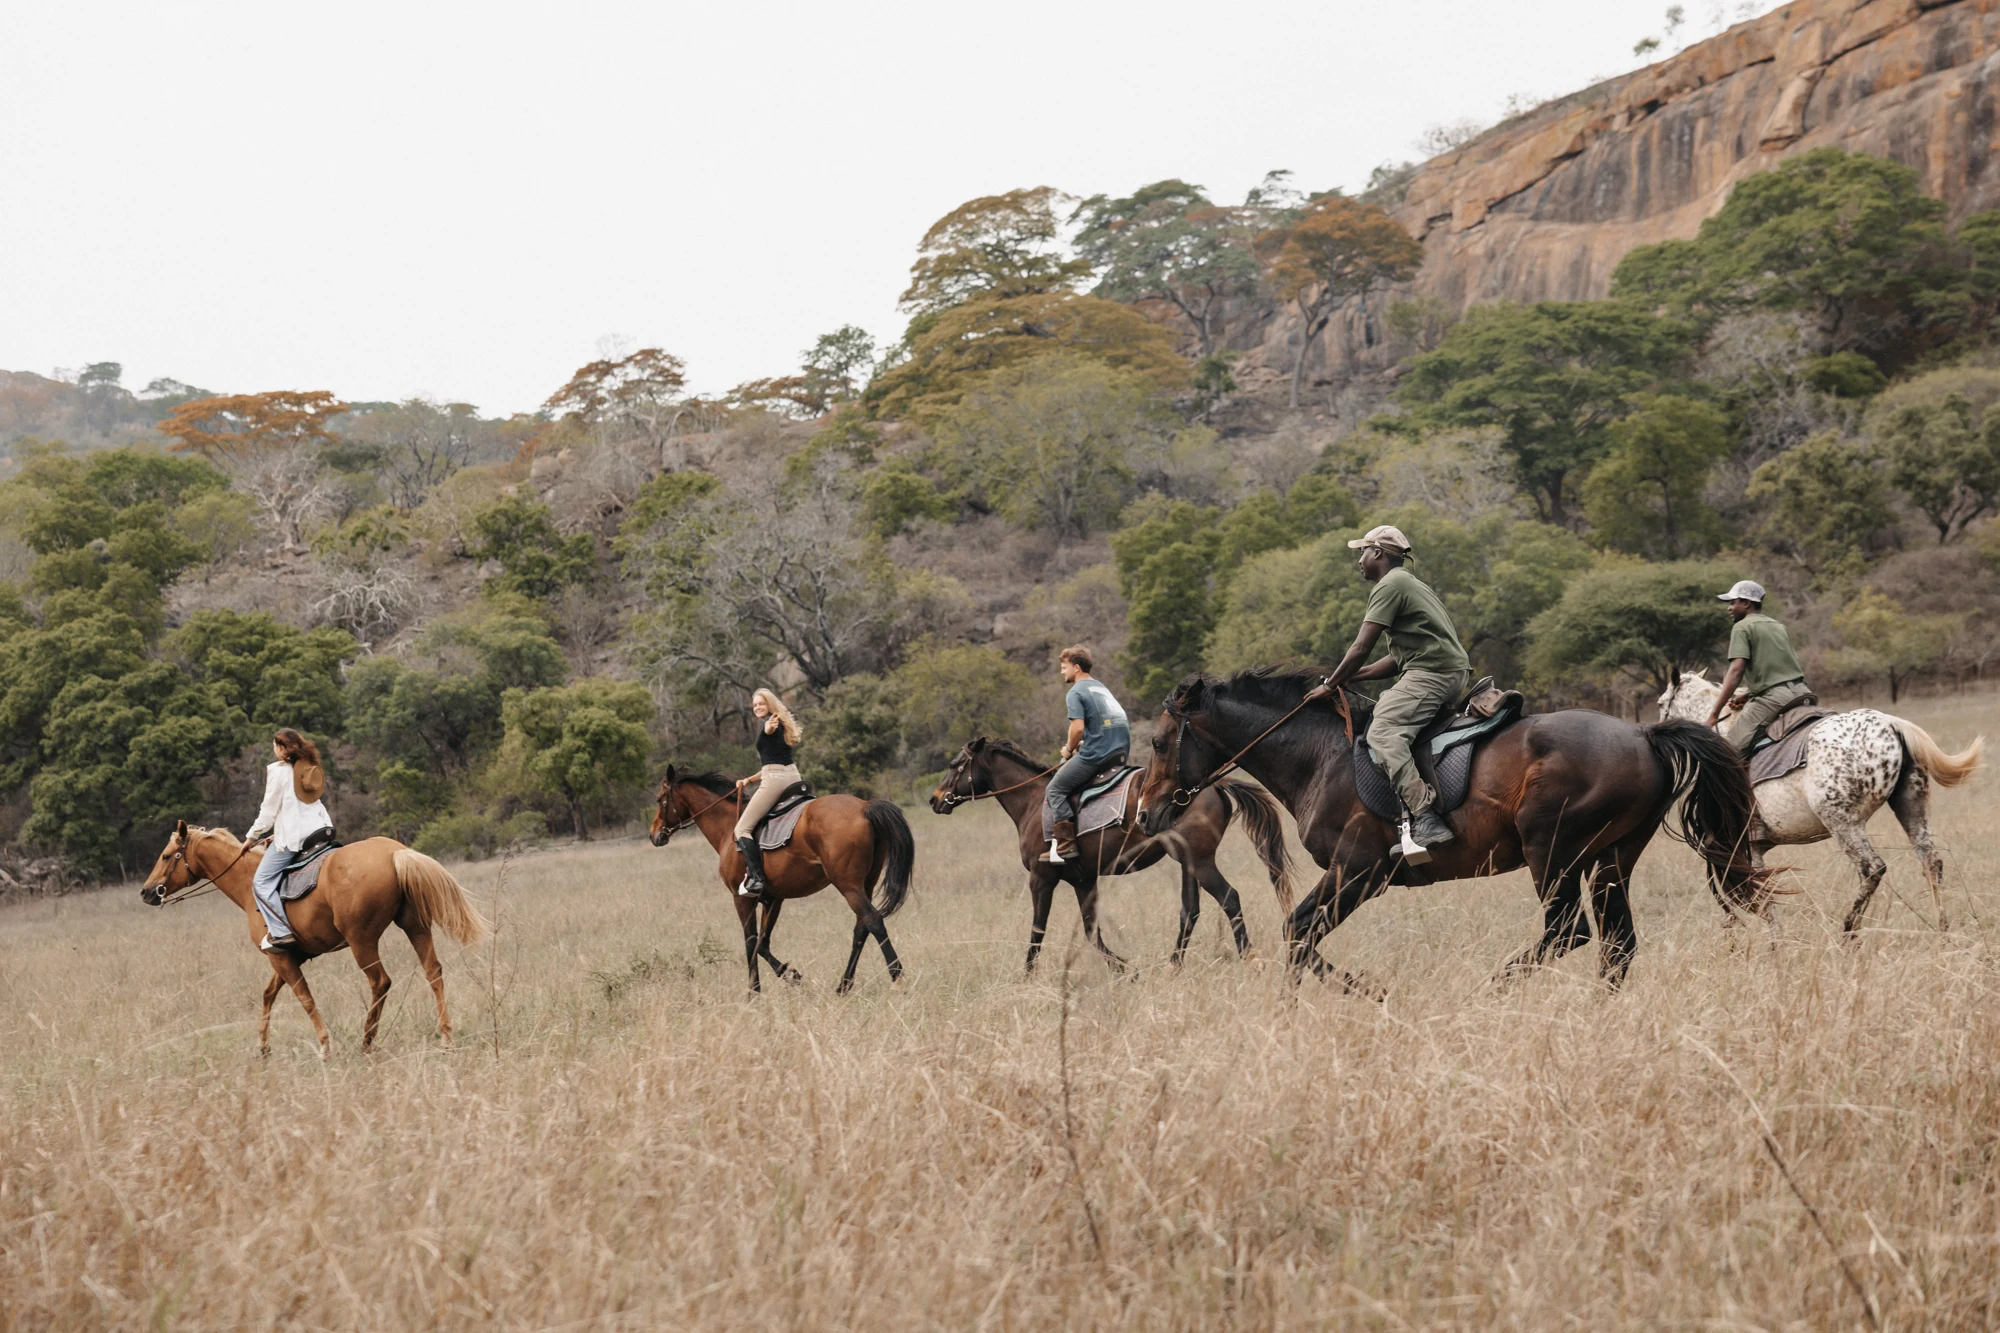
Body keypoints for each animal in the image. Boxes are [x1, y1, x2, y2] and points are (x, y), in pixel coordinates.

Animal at [139, 821, 488, 1057]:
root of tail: (396, 852)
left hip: (362, 942)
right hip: (416, 927)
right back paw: (446, 1037)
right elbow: (268, 995)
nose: (146, 892)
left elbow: (304, 999)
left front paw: (324, 1046)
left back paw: (366, 1040)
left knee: (381, 982)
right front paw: (262, 1046)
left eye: (167, 856)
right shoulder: (289, 957)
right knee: (433, 972)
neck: (249, 882)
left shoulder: (280, 958)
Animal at [650, 767, 914, 995]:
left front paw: (753, 992)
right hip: (865, 884)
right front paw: (790, 974)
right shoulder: (773, 899)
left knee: (874, 921)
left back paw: (897, 979)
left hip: (848, 886)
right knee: (861, 928)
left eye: (659, 799)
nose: (654, 835)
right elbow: (763, 943)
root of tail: (864, 806)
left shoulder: (742, 898)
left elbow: (750, 942)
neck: (728, 828)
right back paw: (843, 986)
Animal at [928, 736, 1295, 974]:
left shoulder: (1041, 879)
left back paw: (1250, 958)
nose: (935, 799)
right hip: (1187, 862)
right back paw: (1173, 966)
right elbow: (1092, 932)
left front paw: (1027, 977)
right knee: (1189, 912)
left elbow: (1038, 930)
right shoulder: (1083, 880)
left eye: (954, 765)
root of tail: (1210, 784)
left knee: (1229, 898)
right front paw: (1125, 969)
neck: (1032, 801)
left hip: (1201, 863)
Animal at [1136, 670, 1773, 990]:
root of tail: (1644, 734)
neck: (1319, 756)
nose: (1144, 814)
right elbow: (1301, 937)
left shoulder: (1359, 871)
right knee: (1617, 945)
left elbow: (1298, 933)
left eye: (1161, 742)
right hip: (1612, 857)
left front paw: (1368, 996)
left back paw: (1488, 990)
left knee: (1569, 933)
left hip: (1553, 850)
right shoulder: (1356, 877)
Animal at [1658, 668, 1984, 934]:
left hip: (1843, 823)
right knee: (1931, 862)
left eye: (1661, 704)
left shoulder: (1742, 845)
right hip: (1911, 806)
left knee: (1872, 869)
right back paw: (1942, 930)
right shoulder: (1756, 845)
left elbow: (1753, 892)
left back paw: (1849, 930)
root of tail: (1891, 723)